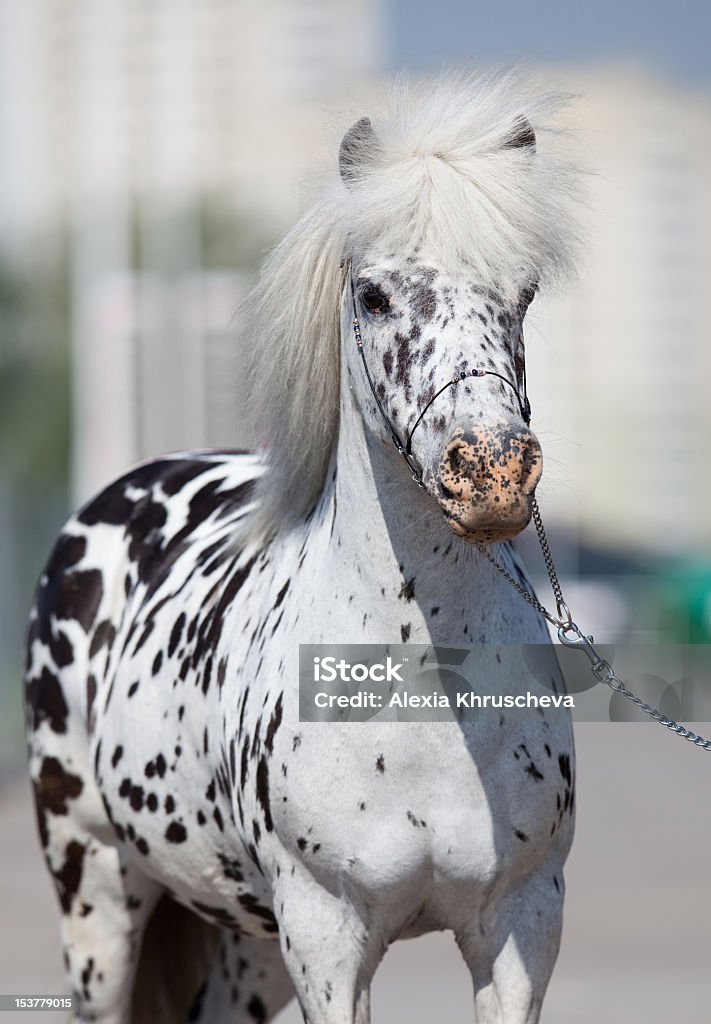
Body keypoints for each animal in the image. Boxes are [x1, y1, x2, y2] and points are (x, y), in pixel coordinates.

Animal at [26, 68, 577, 1019]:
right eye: (373, 295)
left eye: (525, 292)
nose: (493, 471)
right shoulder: (327, 934)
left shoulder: (520, 928)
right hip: (96, 895)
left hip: (250, 944)